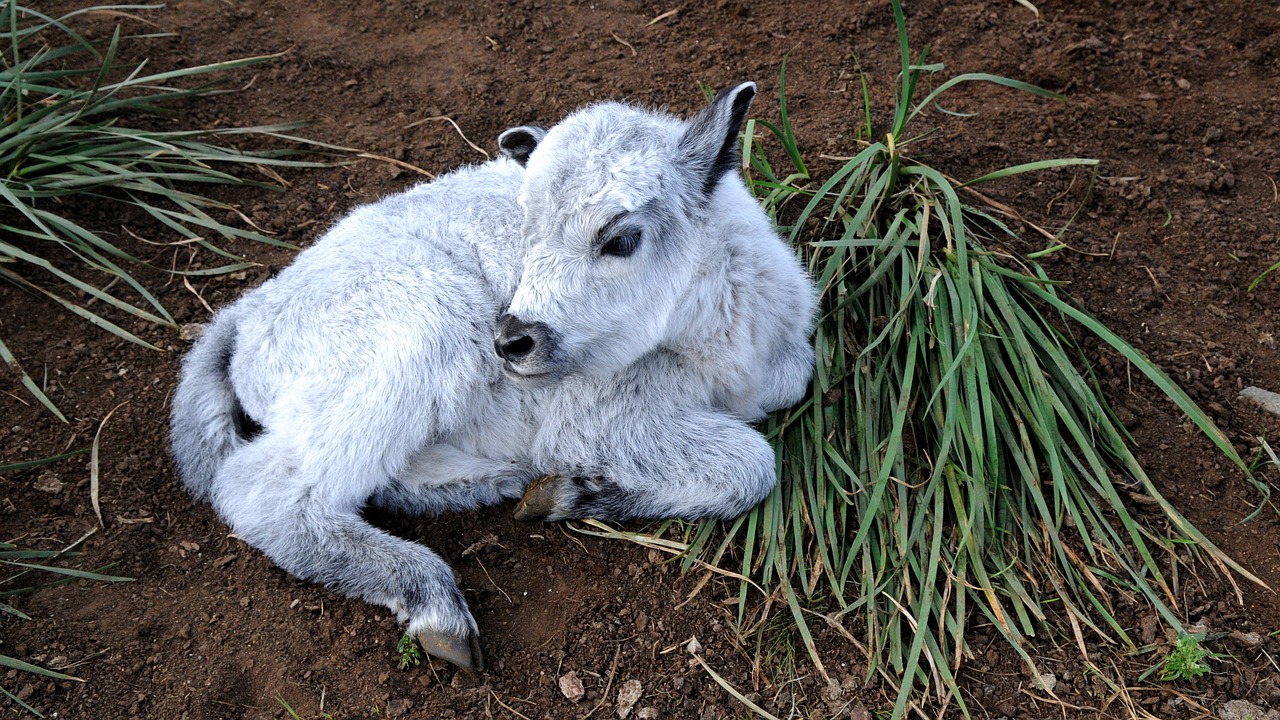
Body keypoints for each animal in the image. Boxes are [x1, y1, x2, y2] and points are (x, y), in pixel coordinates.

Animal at [167, 81, 819, 671]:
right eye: (528, 234)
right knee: (261, 490)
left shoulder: (789, 370)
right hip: (416, 326)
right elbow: (752, 465)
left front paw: (570, 491)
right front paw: (572, 493)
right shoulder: (595, 419)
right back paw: (432, 601)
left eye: (622, 238)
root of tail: (248, 314)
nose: (511, 340)